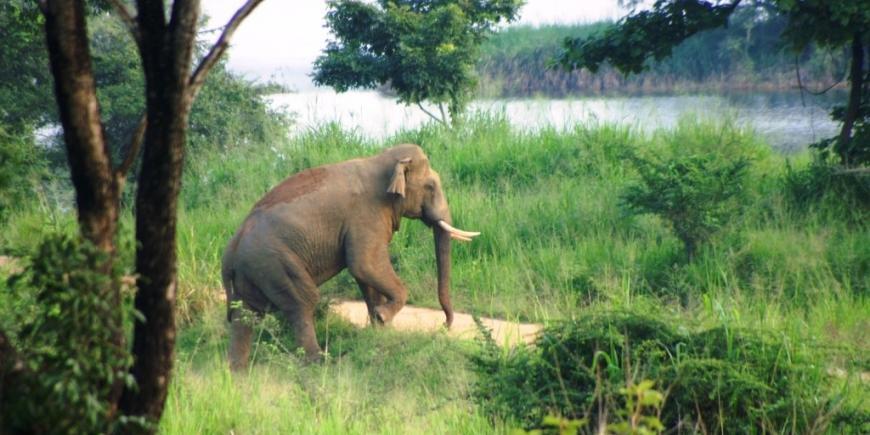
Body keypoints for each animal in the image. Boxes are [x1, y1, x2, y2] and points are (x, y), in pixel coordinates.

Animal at [221, 144, 480, 368]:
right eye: (430, 186)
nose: (444, 326)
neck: (381, 160)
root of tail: (231, 250)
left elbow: (366, 276)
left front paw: (380, 330)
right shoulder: (366, 215)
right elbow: (364, 264)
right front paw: (383, 317)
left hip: (253, 271)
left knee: (245, 316)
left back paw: (238, 373)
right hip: (273, 262)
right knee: (303, 301)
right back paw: (320, 362)